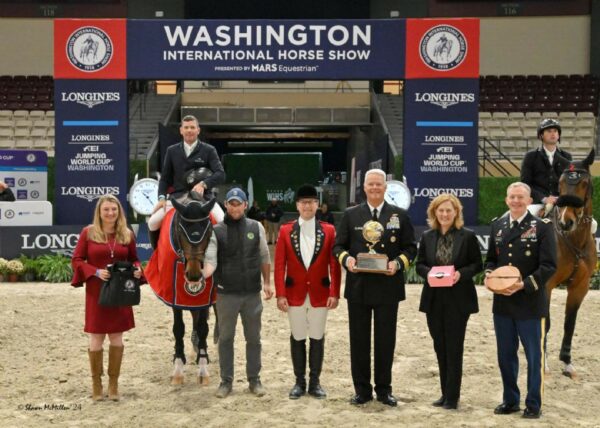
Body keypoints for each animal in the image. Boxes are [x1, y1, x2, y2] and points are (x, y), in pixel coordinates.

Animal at [146, 192, 218, 386]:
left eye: (208, 230)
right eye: (180, 229)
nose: (193, 275)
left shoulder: (206, 295)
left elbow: (203, 327)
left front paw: (203, 368)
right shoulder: (173, 294)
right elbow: (178, 328)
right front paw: (178, 369)